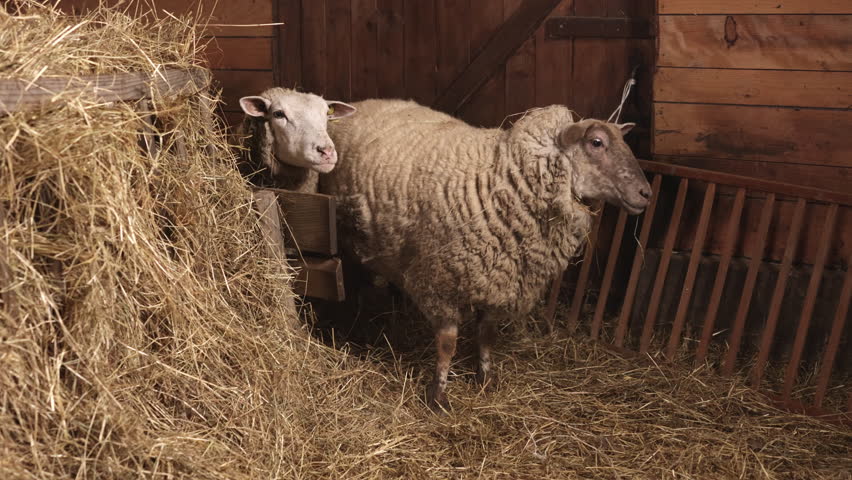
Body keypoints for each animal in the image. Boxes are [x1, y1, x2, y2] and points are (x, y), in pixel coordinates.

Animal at [321, 99, 651, 411]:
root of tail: (358, 105)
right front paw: (438, 395)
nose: (646, 194)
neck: (502, 179)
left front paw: (486, 377)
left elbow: (486, 334)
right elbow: (447, 343)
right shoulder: (439, 282)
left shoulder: (498, 279)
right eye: (596, 142)